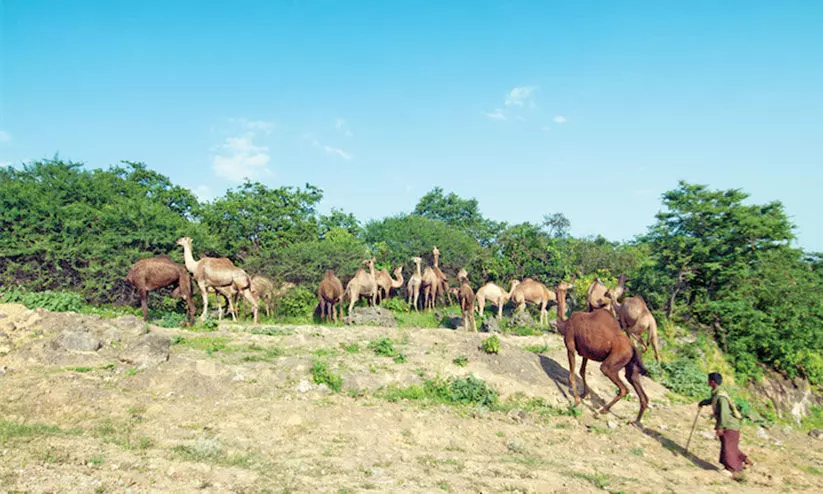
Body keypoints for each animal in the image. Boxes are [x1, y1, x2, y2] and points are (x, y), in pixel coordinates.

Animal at [552, 282, 652, 424]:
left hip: (611, 363)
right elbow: (582, 371)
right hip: (631, 367)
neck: (565, 324)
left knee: (623, 388)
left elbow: (571, 374)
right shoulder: (586, 352)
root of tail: (633, 348)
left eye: (561, 285)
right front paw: (585, 394)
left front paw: (576, 401)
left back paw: (601, 411)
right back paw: (634, 421)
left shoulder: (570, 345)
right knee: (641, 393)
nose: (570, 285)